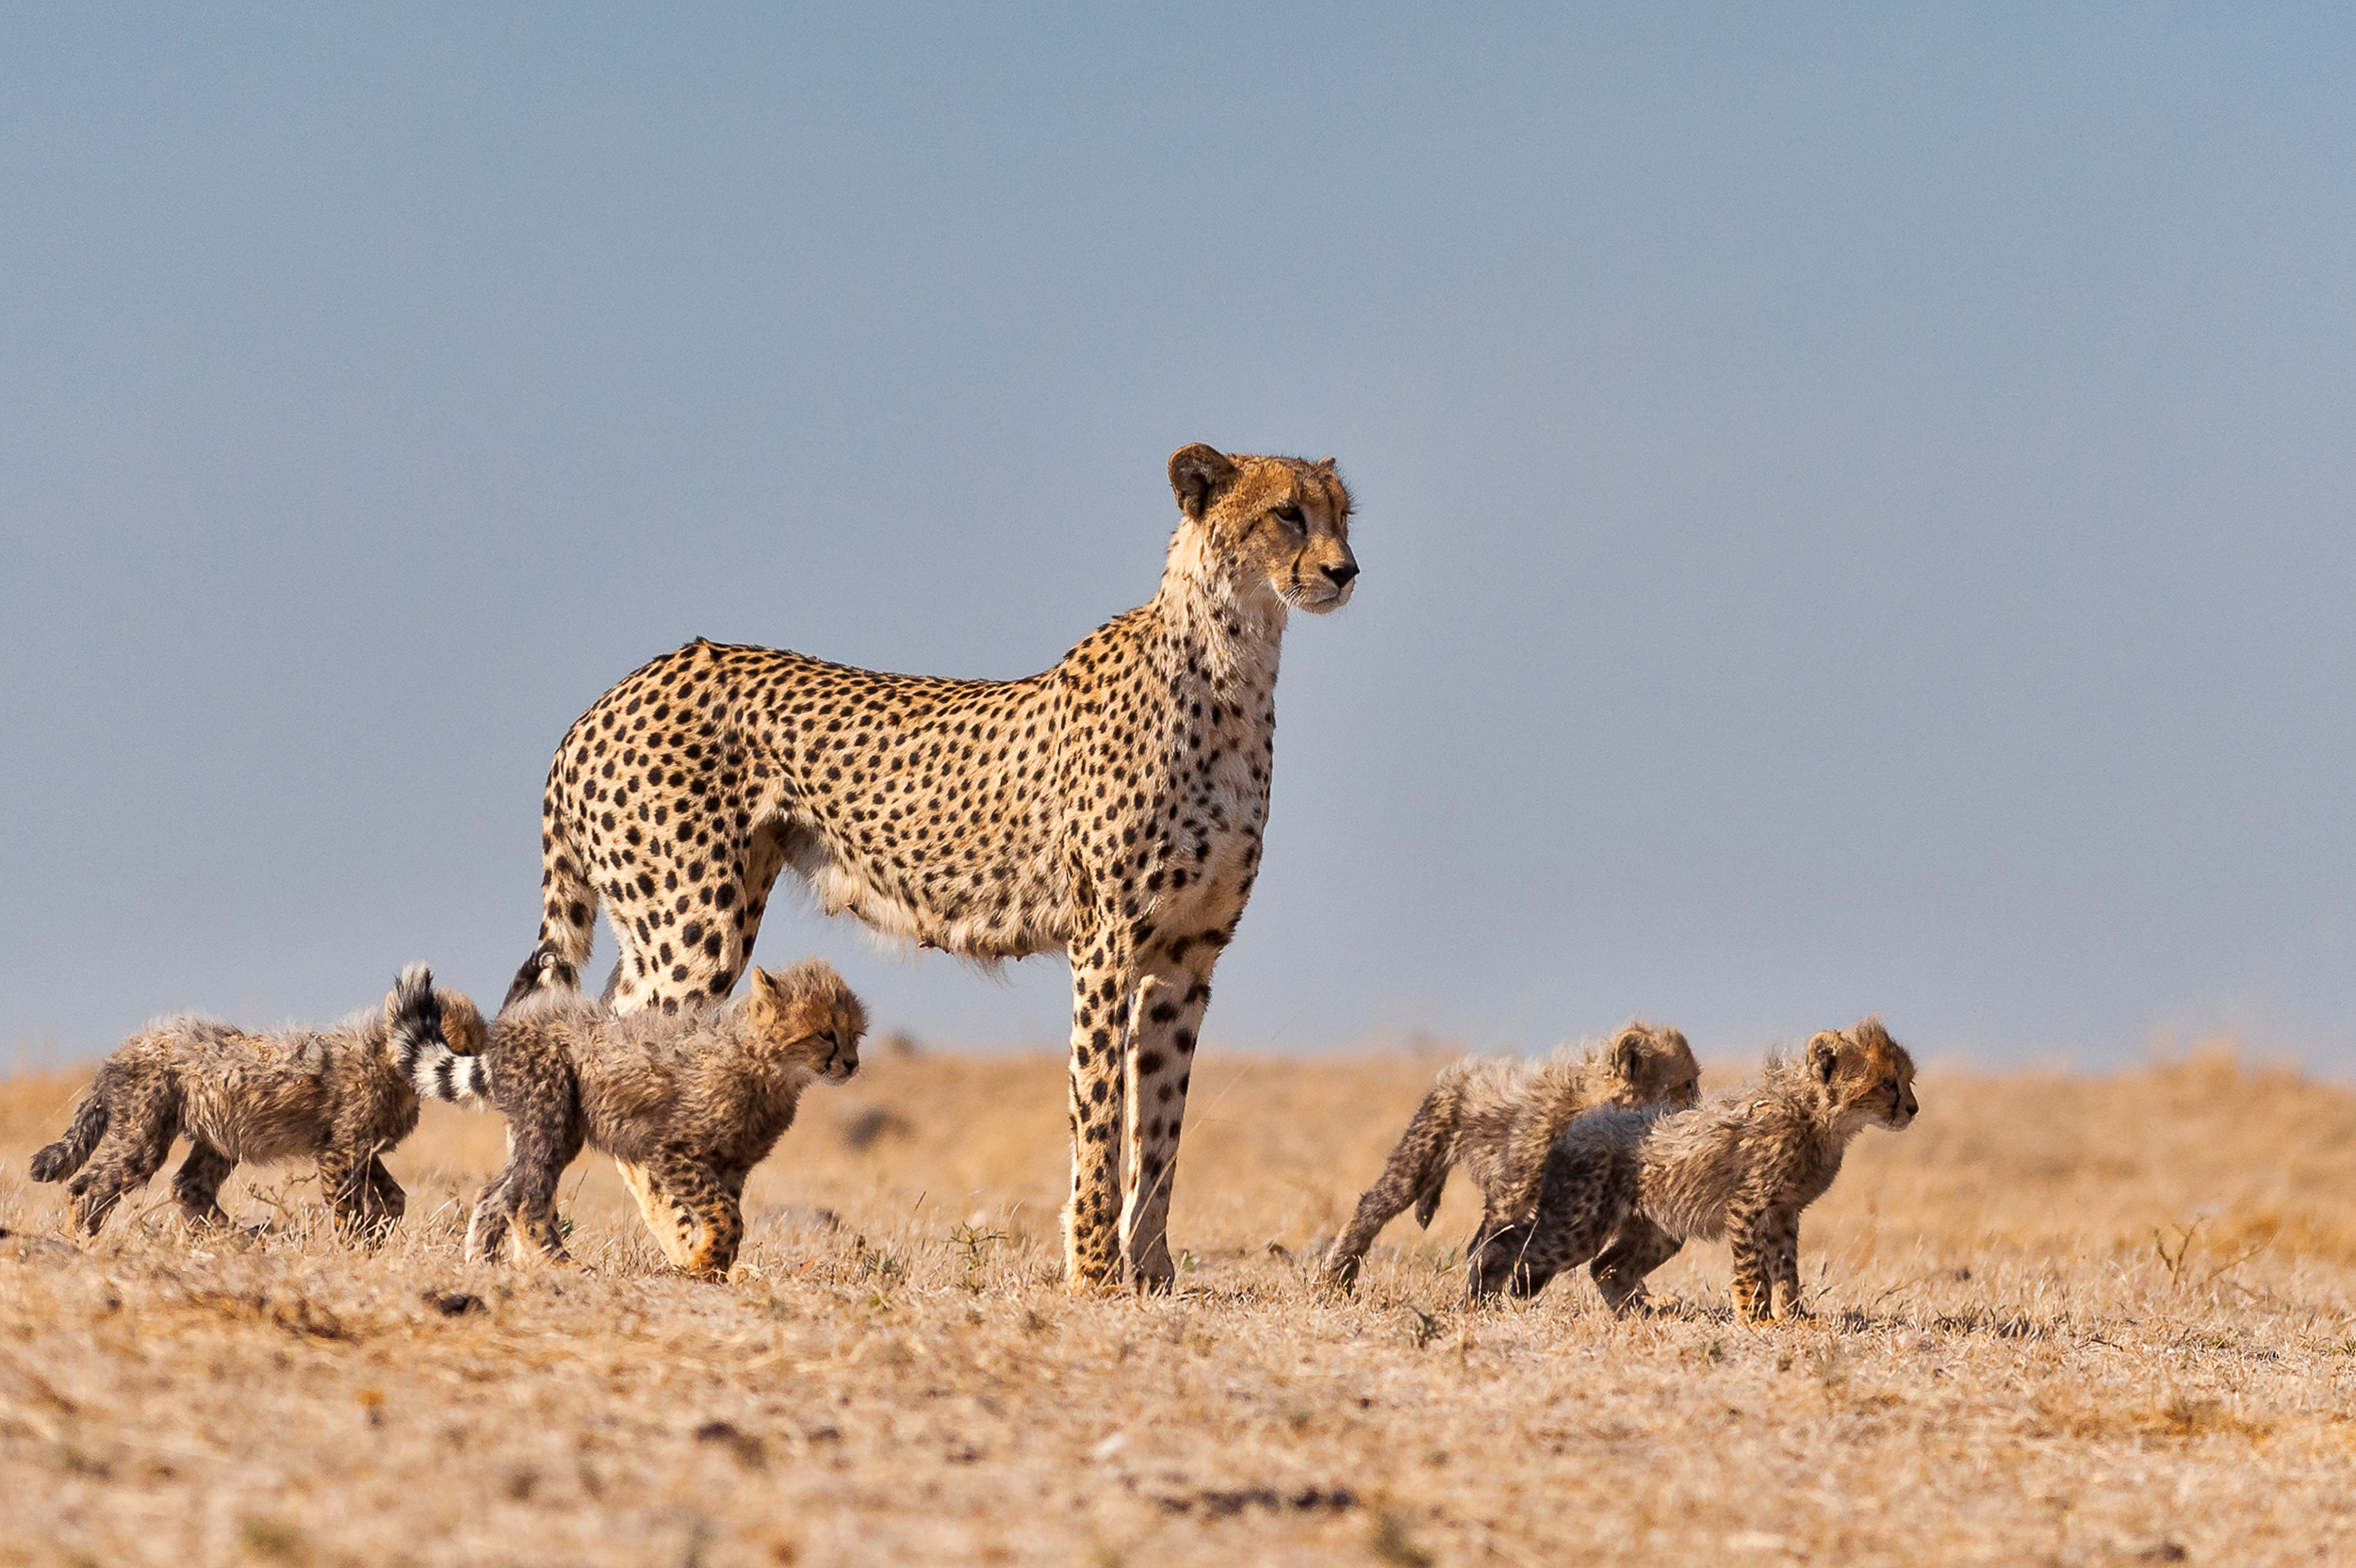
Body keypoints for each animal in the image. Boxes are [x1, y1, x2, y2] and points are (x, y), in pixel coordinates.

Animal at [511, 445, 1366, 1290]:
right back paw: (683, 1247)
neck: (1234, 665)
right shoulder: (1106, 944)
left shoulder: (1186, 956)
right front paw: (1093, 1276)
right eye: (1286, 513)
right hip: (694, 922)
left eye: (1341, 513)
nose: (1345, 570)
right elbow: (1099, 1114)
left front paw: (1152, 1277)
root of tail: (607, 699)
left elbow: (1158, 1129)